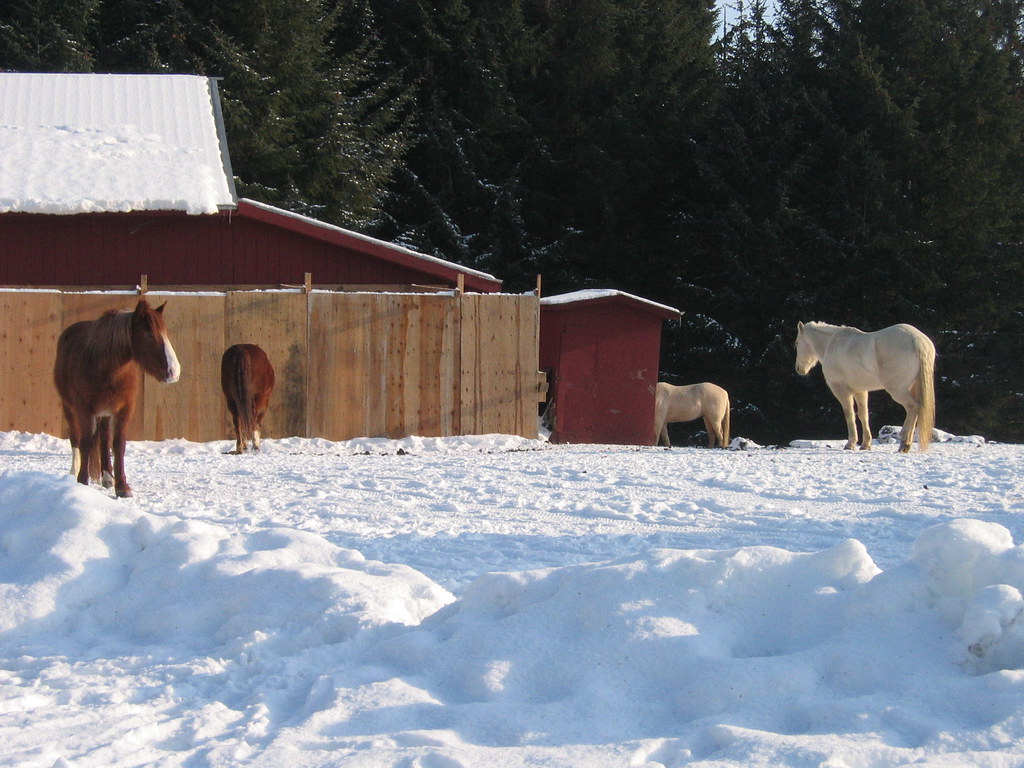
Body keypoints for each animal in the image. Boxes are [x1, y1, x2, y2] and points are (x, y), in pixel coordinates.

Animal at [54, 299, 181, 497]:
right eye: (149, 334)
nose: (174, 372)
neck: (106, 369)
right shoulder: (84, 410)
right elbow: (85, 442)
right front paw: (82, 481)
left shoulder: (123, 410)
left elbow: (118, 445)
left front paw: (122, 486)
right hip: (69, 407)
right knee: (75, 438)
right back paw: (73, 472)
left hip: (105, 414)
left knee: (104, 440)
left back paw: (107, 477)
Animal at [794, 321, 936, 452]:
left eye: (796, 343)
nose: (799, 369)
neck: (832, 344)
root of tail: (917, 341)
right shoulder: (860, 390)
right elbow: (863, 415)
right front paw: (865, 444)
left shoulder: (841, 390)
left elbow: (849, 414)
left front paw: (850, 444)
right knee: (916, 408)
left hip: (898, 391)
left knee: (913, 407)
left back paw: (904, 443)